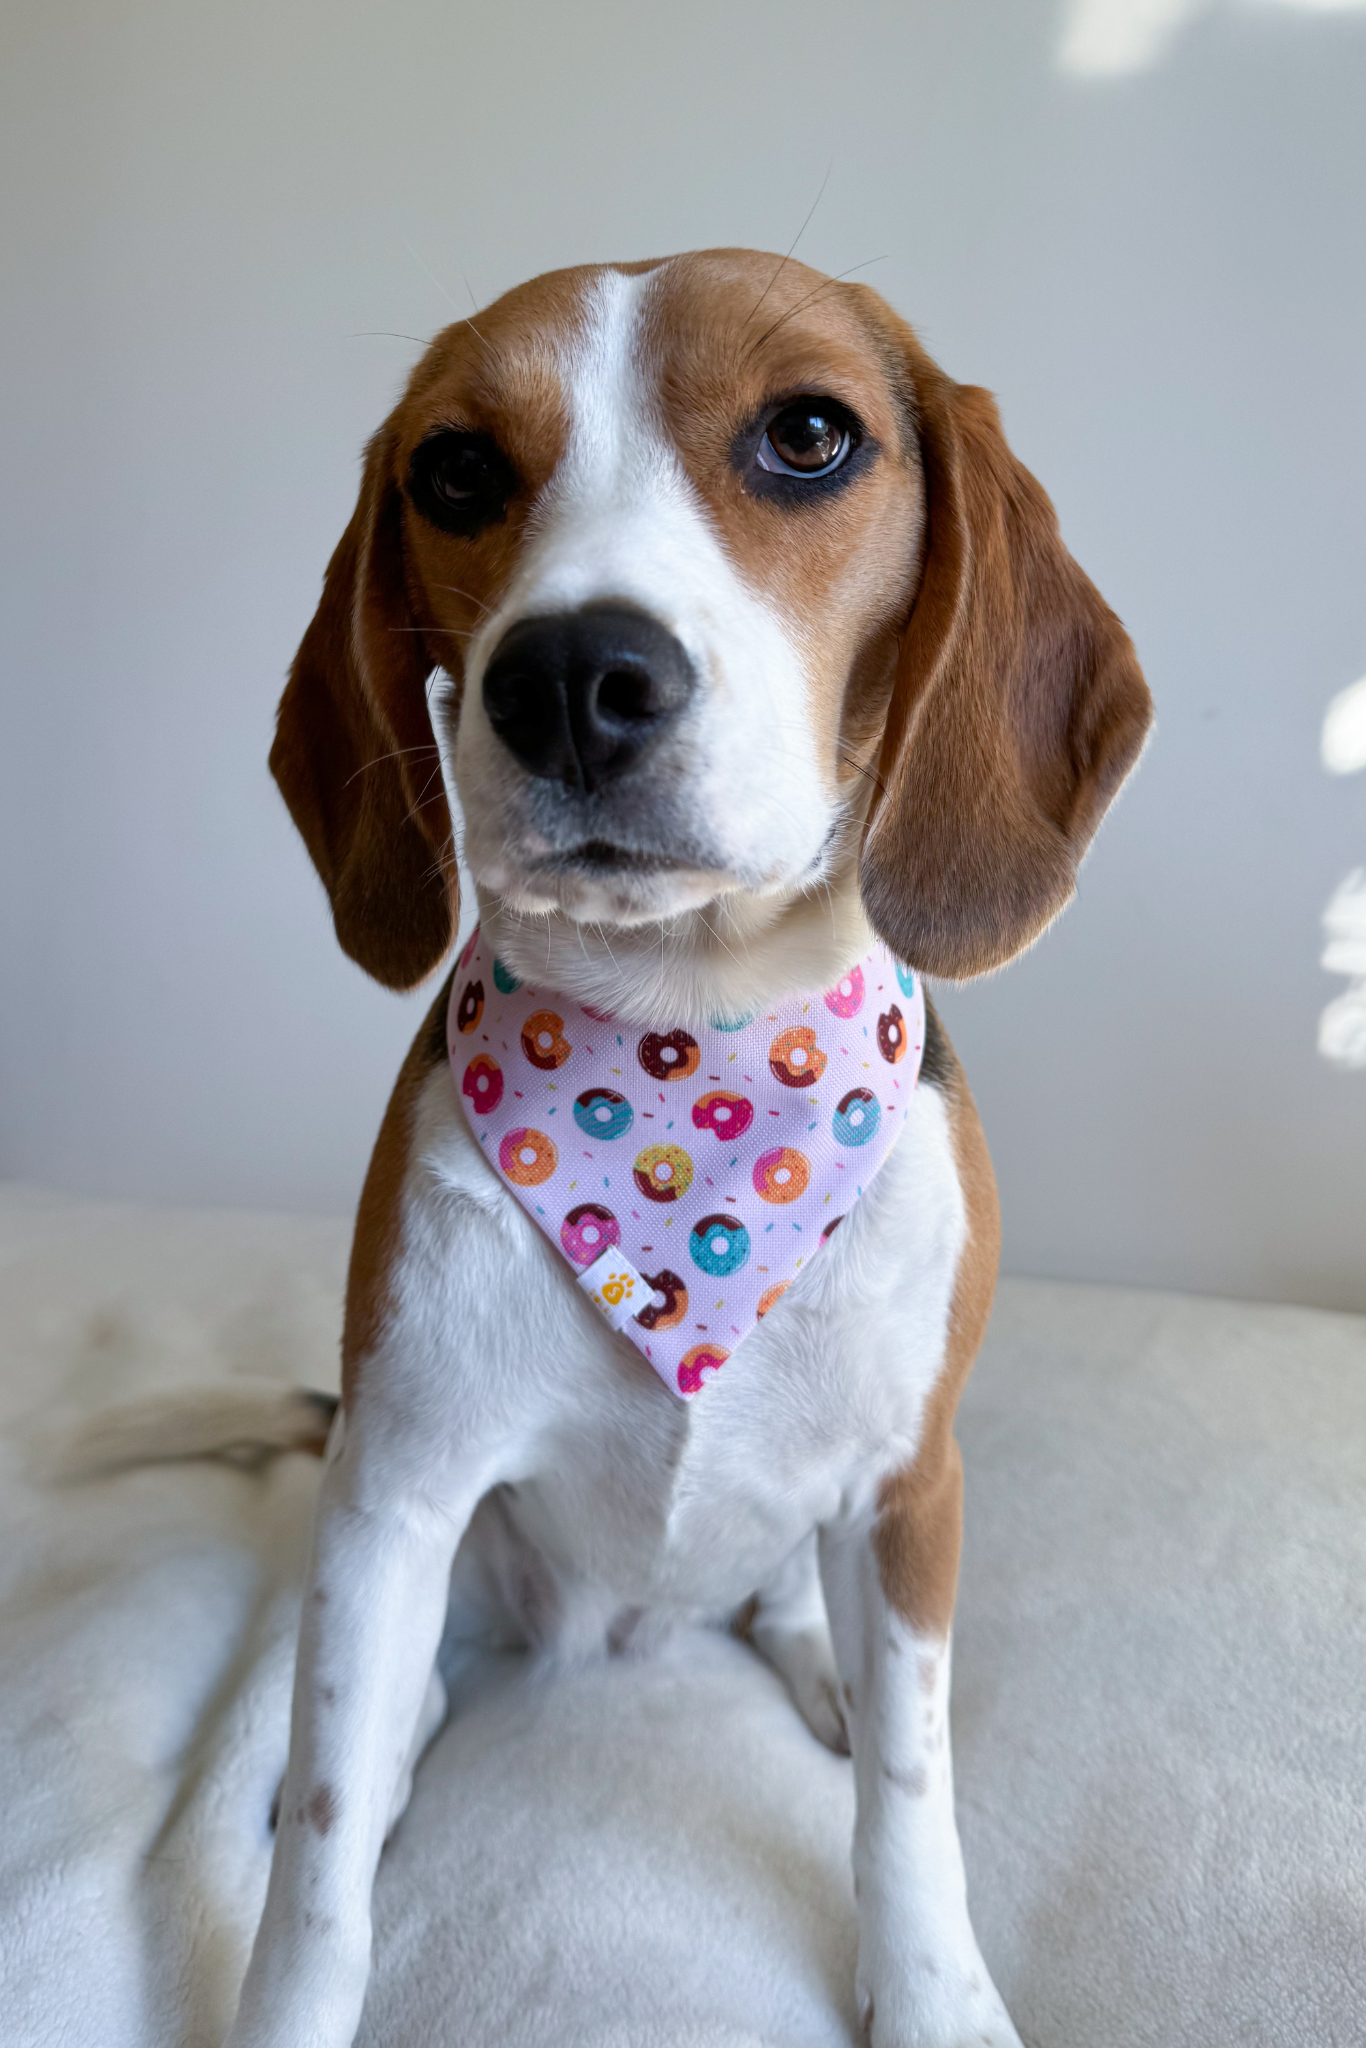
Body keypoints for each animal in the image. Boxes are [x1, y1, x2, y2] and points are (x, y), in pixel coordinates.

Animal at [227, 251, 1155, 2048]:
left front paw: (933, 1994)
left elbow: (910, 1807)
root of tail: (630, 1632)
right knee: (367, 1722)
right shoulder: (393, 1492)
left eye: (808, 434)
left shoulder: (910, 1487)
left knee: (799, 1623)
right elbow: (317, 1868)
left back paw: (810, 1667)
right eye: (455, 469)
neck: (686, 1051)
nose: (570, 677)